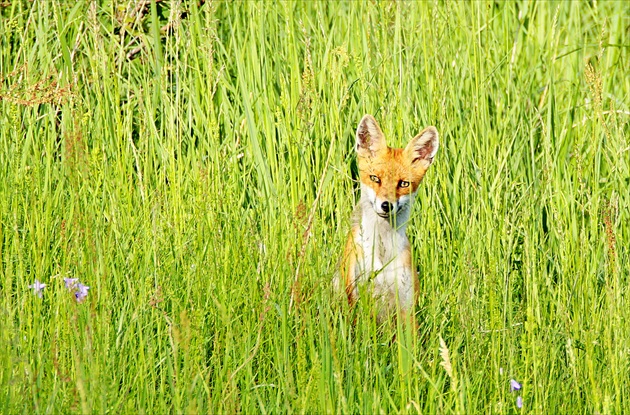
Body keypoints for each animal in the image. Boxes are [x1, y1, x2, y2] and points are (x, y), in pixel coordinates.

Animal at [340, 114, 440, 324]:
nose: (387, 205)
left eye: (403, 184)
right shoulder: (355, 299)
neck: (382, 252)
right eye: (375, 178)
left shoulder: (406, 306)